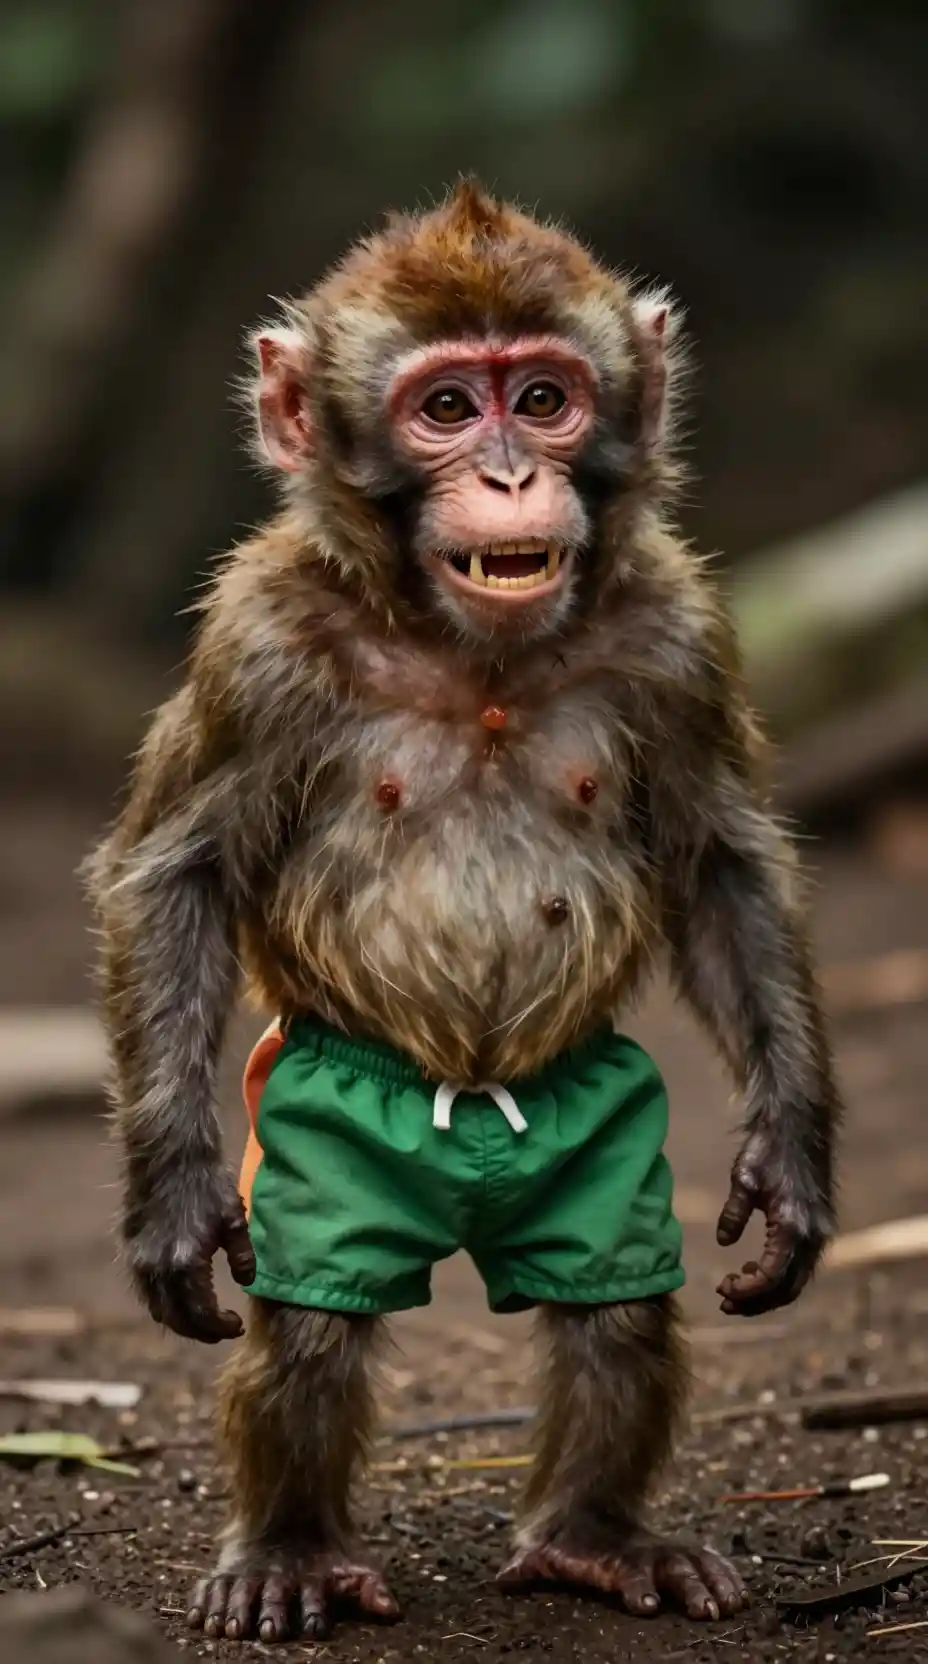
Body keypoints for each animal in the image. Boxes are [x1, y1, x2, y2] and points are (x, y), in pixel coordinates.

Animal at [88, 182, 839, 1644]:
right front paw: (175, 1204)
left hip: (589, 1130)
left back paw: (592, 1537)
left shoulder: (678, 629)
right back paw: (292, 1552)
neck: (461, 642)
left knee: (616, 1316)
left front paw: (788, 1161)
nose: (503, 476)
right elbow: (177, 875)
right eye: (445, 408)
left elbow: (722, 865)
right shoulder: (257, 639)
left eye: (541, 397)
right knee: (311, 1335)